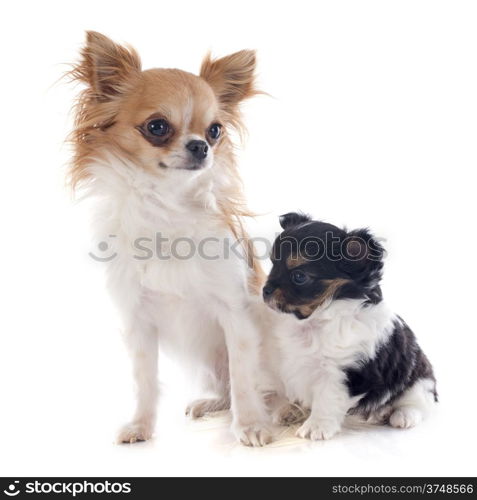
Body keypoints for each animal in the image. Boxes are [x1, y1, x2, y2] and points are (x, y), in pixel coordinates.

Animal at [262, 213, 436, 440]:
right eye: (273, 265)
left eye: (299, 276)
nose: (265, 290)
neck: (318, 319)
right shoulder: (296, 363)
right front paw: (294, 409)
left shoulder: (342, 373)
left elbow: (326, 400)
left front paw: (315, 426)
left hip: (419, 380)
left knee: (419, 402)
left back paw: (400, 415)